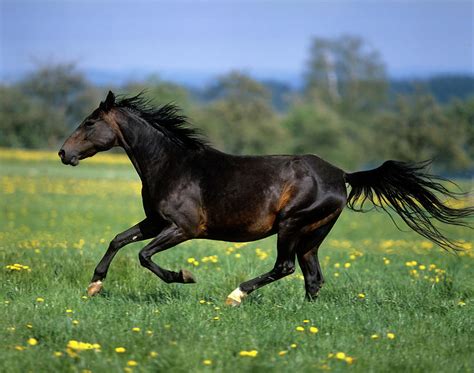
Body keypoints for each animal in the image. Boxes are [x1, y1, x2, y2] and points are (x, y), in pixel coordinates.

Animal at [60, 91, 474, 306]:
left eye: (89, 123)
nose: (64, 153)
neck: (172, 165)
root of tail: (342, 175)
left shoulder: (183, 228)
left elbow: (145, 257)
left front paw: (185, 276)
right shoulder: (156, 222)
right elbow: (118, 240)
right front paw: (94, 285)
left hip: (291, 224)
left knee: (285, 268)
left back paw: (236, 295)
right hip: (313, 234)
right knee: (313, 276)